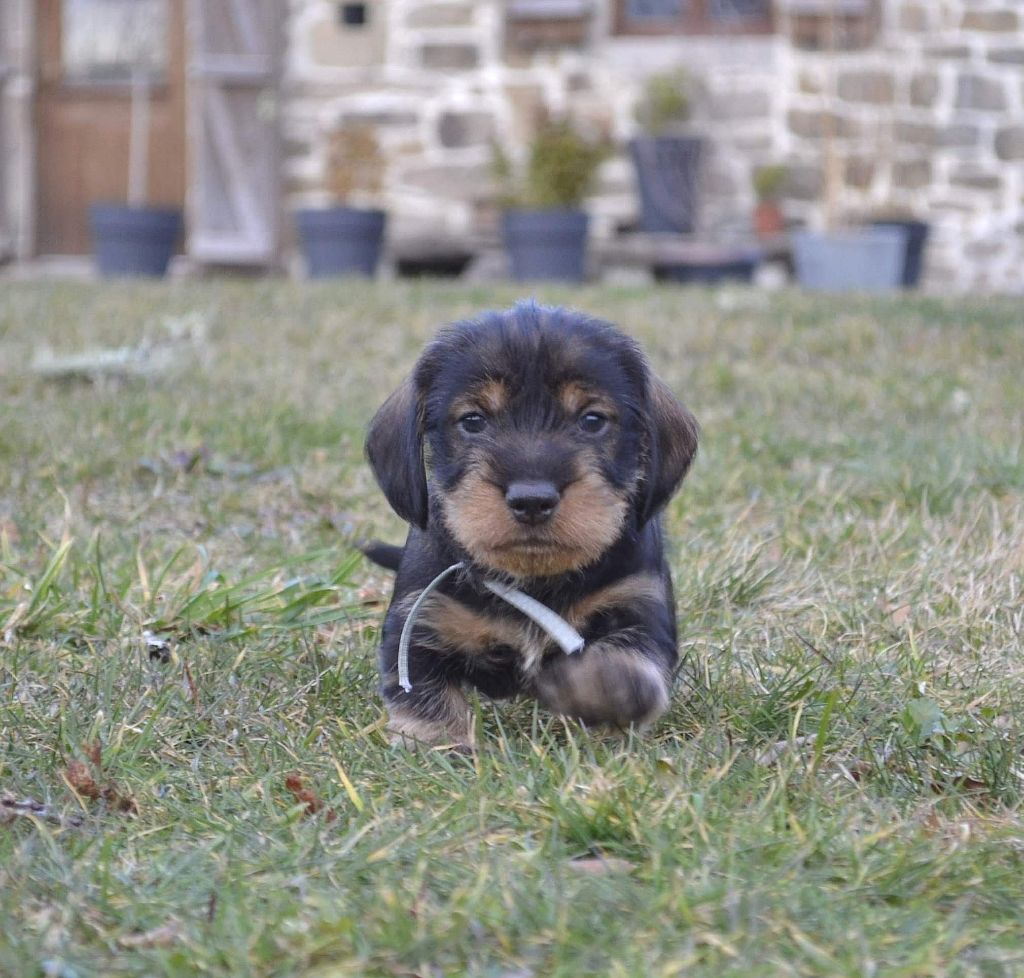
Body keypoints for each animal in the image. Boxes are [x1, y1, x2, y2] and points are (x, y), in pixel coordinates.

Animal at [362, 303, 696, 745]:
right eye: (473, 420)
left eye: (592, 420)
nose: (532, 500)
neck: (534, 580)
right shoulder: (418, 619)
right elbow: (423, 692)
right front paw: (439, 743)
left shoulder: (639, 604)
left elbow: (631, 658)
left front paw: (604, 684)